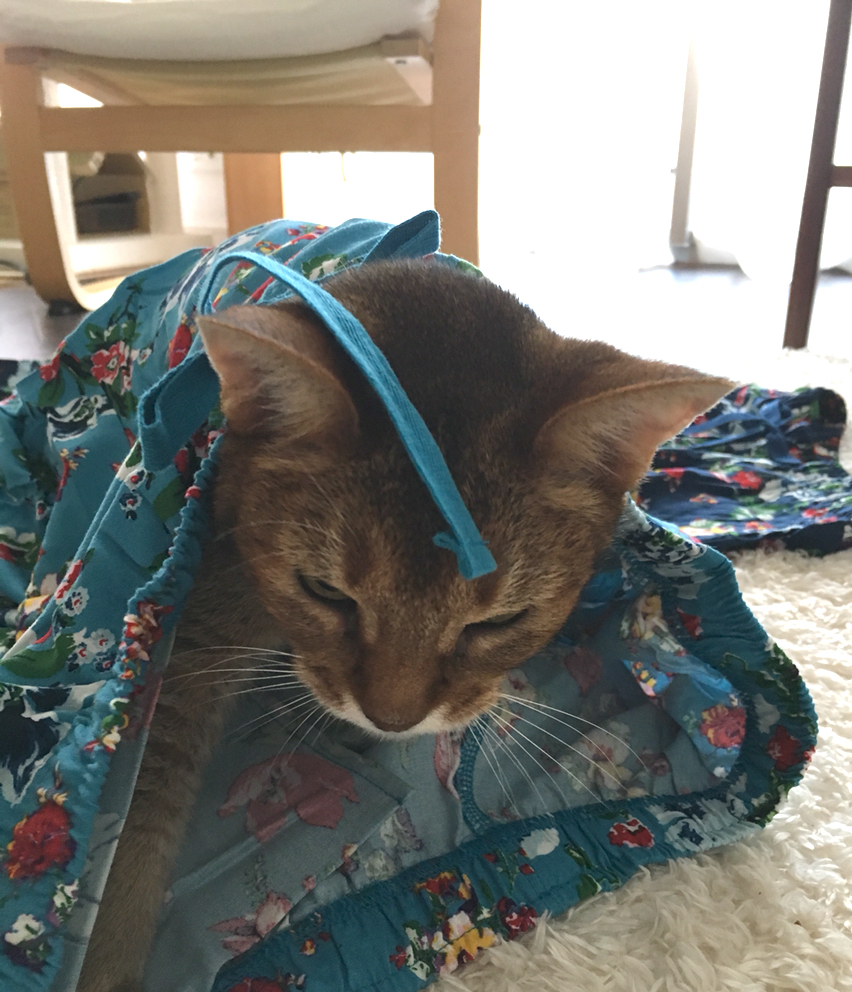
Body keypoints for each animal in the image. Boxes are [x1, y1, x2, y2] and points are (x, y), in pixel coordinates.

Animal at [76, 259, 732, 992]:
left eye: (500, 620)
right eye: (324, 592)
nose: (391, 720)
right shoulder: (185, 637)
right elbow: (136, 818)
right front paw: (105, 962)